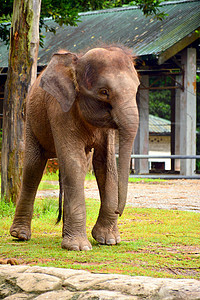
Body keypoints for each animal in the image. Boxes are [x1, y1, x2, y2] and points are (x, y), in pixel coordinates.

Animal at [10, 45, 140, 251]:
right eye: (104, 92)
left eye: (137, 89)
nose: (119, 211)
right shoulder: (60, 110)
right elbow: (74, 162)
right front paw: (79, 247)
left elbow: (105, 164)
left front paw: (108, 240)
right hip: (30, 118)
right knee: (33, 167)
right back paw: (20, 236)